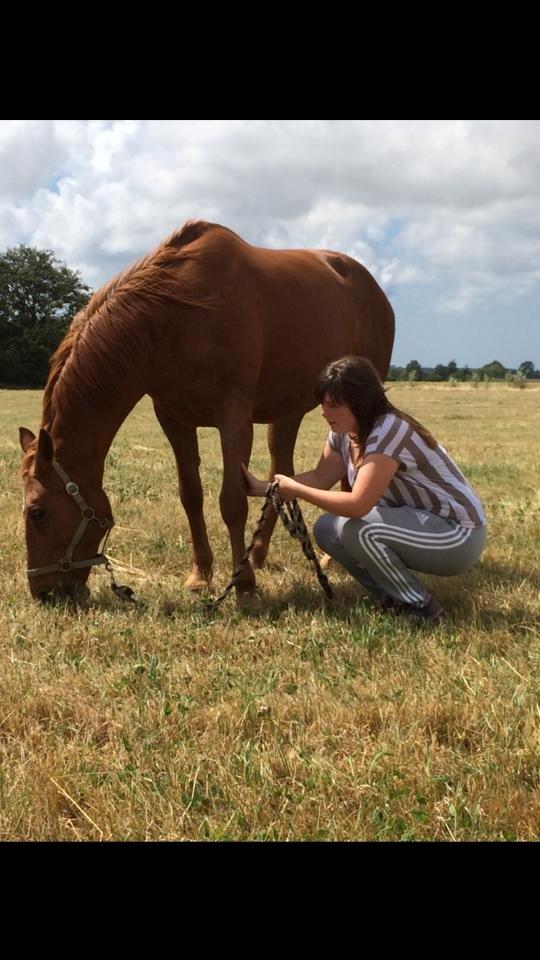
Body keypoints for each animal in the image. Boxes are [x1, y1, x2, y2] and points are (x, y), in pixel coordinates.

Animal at [19, 222, 394, 604]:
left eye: (37, 512)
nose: (43, 593)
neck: (175, 318)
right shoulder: (173, 419)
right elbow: (191, 495)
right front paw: (201, 576)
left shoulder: (234, 418)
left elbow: (232, 501)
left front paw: (244, 586)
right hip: (286, 410)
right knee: (282, 471)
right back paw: (259, 553)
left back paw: (326, 561)